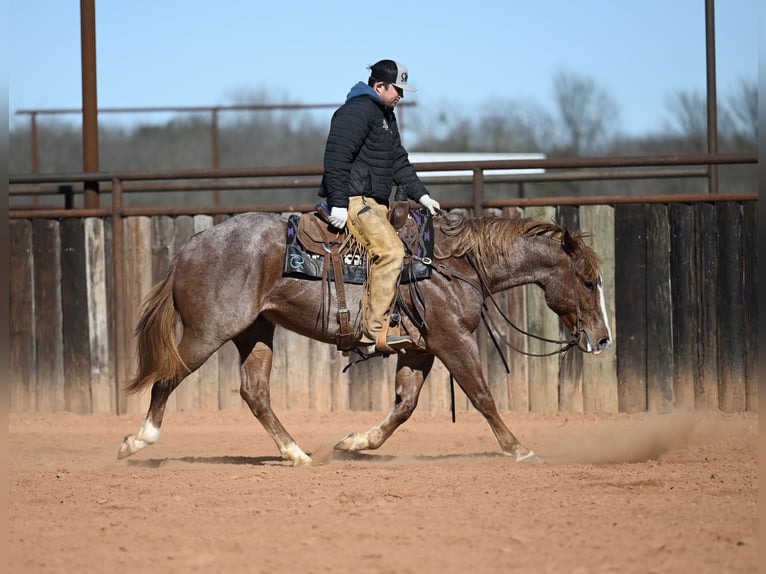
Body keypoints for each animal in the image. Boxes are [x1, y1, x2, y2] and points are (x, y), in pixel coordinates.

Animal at [118, 210, 612, 465]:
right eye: (588, 282)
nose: (603, 338)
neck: (453, 265)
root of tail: (193, 244)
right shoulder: (453, 341)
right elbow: (482, 396)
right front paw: (520, 449)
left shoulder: (421, 350)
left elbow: (404, 406)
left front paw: (354, 443)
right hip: (208, 332)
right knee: (167, 378)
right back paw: (137, 441)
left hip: (254, 333)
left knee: (254, 392)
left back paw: (296, 452)